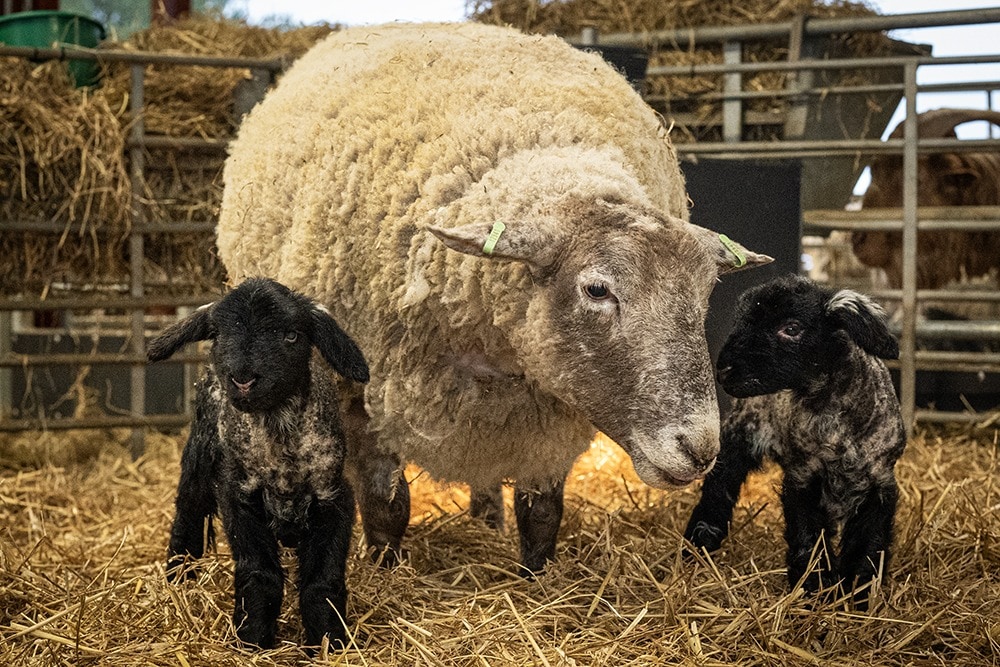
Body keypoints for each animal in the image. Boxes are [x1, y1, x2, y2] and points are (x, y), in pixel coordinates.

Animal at [147, 277, 370, 649]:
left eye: (291, 335)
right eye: (219, 334)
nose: (243, 378)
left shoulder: (333, 497)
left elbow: (322, 581)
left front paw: (329, 641)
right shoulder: (239, 496)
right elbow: (260, 574)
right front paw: (252, 639)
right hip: (200, 451)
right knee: (188, 512)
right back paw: (180, 579)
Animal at [216, 22, 772, 574]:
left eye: (705, 293)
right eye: (597, 289)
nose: (700, 449)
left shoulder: (548, 418)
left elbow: (542, 513)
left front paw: (536, 578)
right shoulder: (362, 395)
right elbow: (386, 507)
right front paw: (385, 570)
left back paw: (487, 522)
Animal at [683, 275, 906, 604]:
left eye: (791, 328)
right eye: (741, 322)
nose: (723, 370)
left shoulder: (879, 482)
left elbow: (868, 543)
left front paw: (857, 594)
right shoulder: (803, 477)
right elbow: (807, 536)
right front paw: (815, 588)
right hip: (741, 430)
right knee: (720, 483)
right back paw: (700, 539)